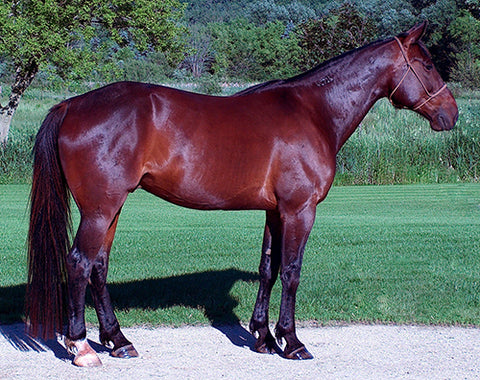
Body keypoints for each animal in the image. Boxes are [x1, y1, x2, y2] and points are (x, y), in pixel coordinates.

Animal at [25, 22, 458, 366]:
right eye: (427, 65)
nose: (451, 114)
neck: (313, 111)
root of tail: (71, 105)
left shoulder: (276, 211)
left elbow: (269, 268)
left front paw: (264, 337)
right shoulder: (300, 210)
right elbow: (292, 271)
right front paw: (293, 342)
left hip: (110, 209)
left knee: (99, 266)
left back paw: (118, 341)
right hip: (100, 209)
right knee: (80, 263)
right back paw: (82, 348)